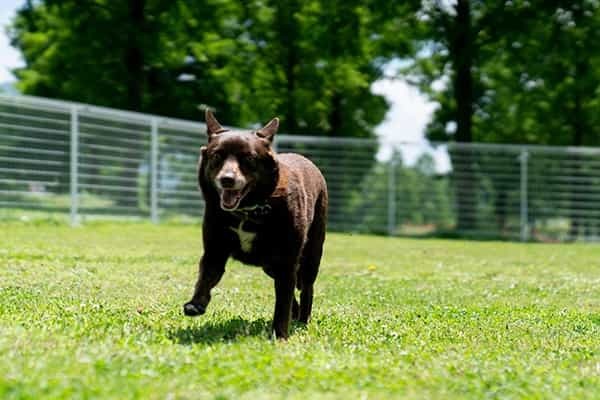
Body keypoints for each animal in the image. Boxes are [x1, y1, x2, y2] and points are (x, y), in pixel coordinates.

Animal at [185, 111, 330, 340]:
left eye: (249, 159)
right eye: (217, 156)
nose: (227, 179)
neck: (248, 209)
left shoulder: (287, 260)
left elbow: (282, 303)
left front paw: (279, 335)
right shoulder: (214, 250)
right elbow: (206, 276)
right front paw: (196, 303)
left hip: (311, 253)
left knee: (306, 287)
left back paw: (303, 319)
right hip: (269, 265)